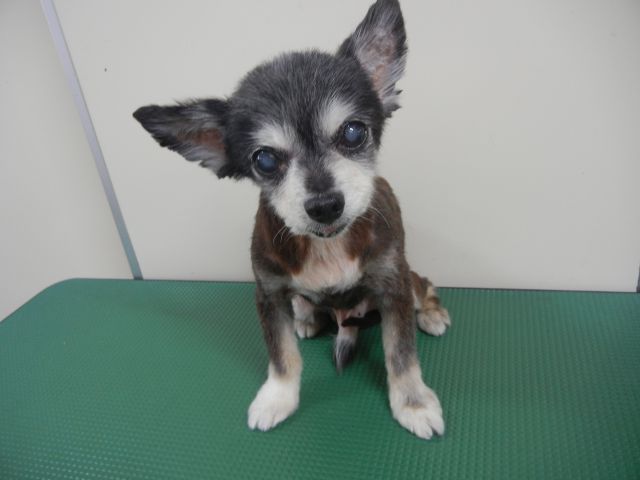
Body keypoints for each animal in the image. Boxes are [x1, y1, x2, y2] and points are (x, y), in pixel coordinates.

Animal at [134, 0, 451, 440]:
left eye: (353, 132)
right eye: (265, 159)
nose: (325, 205)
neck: (327, 245)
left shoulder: (393, 286)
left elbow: (401, 353)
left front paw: (414, 404)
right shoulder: (268, 294)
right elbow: (281, 354)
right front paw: (276, 399)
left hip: (408, 280)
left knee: (426, 285)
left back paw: (433, 314)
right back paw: (306, 317)